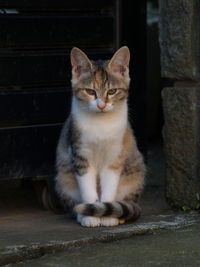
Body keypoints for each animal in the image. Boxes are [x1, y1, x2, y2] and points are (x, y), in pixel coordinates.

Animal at [54, 46, 145, 228]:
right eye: (90, 91)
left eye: (112, 91)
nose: (101, 105)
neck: (101, 124)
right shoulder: (80, 154)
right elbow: (87, 188)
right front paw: (90, 216)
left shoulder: (115, 157)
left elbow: (109, 186)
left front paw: (108, 215)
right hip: (63, 178)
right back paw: (81, 213)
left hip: (135, 171)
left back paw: (120, 213)